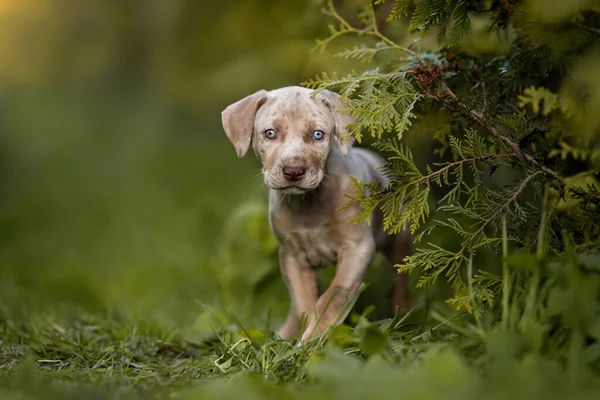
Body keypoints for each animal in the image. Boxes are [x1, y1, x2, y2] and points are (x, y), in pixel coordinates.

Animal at [223, 85, 410, 340]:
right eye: (270, 133)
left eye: (318, 135)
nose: (293, 171)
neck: (308, 203)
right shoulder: (292, 257)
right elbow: (302, 302)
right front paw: (301, 334)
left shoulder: (357, 248)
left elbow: (334, 295)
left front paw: (315, 334)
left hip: (399, 239)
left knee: (400, 280)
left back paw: (404, 314)